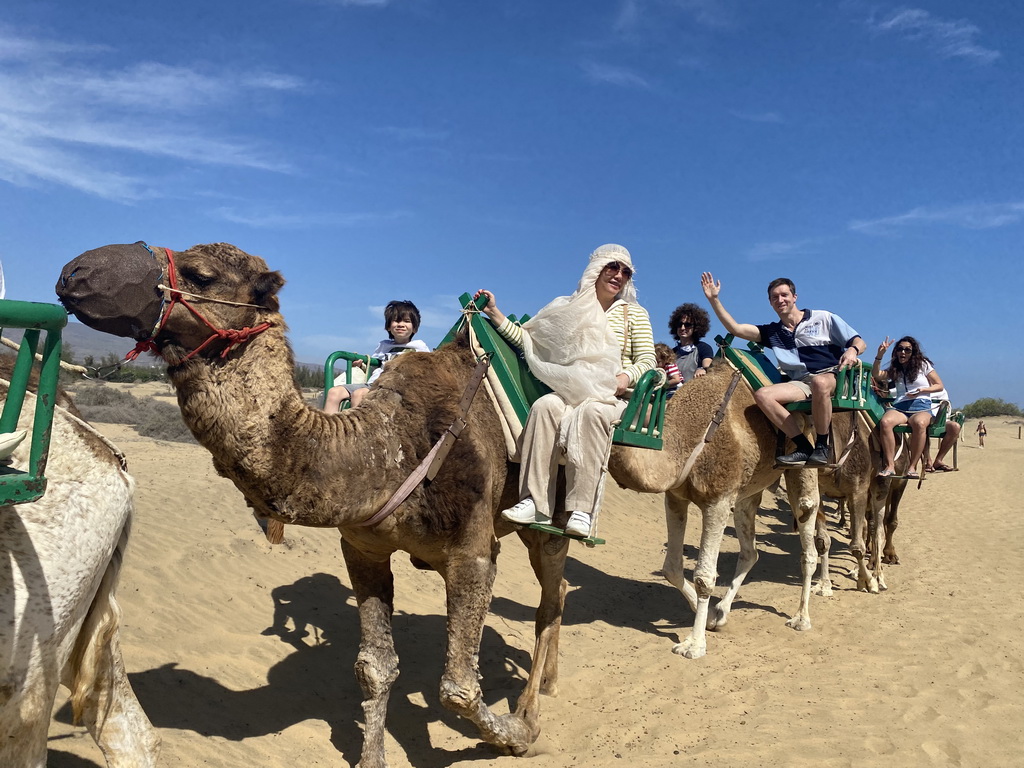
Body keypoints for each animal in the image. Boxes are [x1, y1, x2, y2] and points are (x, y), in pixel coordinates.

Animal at [54, 241, 569, 768]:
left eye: (201, 274)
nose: (75, 273)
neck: (392, 448)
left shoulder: (472, 554)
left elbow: (458, 689)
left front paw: (518, 736)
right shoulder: (364, 550)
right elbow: (374, 667)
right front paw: (371, 758)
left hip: (548, 514)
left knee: (552, 595)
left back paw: (531, 708)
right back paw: (546, 685)